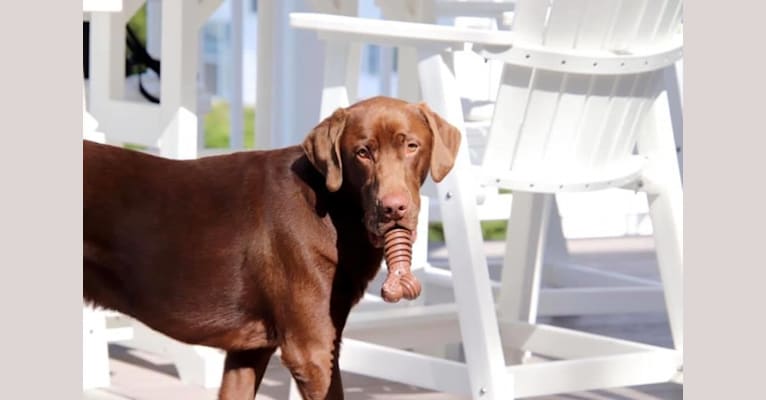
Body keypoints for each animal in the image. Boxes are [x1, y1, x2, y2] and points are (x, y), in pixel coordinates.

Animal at [88, 96, 464, 396]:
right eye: (362, 153)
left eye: (412, 146)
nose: (394, 208)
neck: (334, 209)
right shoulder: (312, 352)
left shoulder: (248, 353)